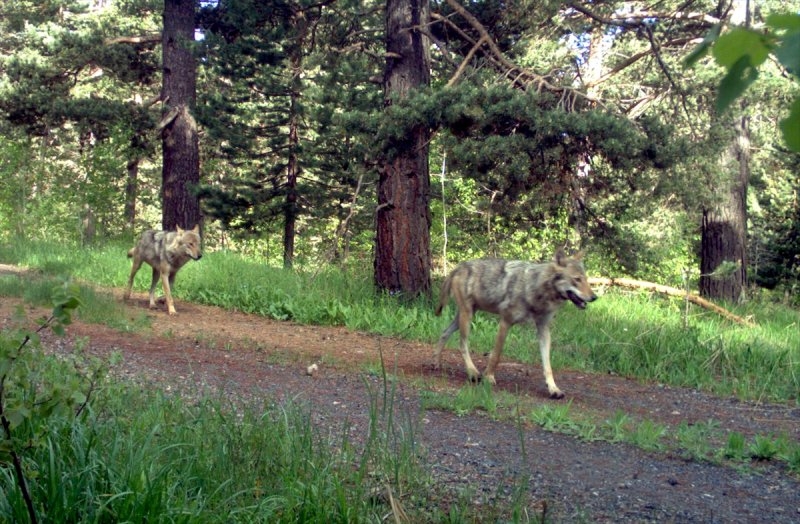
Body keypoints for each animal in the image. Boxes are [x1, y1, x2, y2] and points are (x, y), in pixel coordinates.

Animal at [434, 250, 596, 398]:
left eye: (586, 280)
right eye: (577, 279)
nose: (594, 297)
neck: (535, 288)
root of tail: (459, 266)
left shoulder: (543, 329)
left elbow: (547, 365)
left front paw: (553, 389)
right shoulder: (505, 322)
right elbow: (496, 355)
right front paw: (489, 378)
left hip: (465, 316)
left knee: (444, 333)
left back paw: (436, 362)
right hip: (467, 317)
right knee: (462, 344)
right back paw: (473, 373)